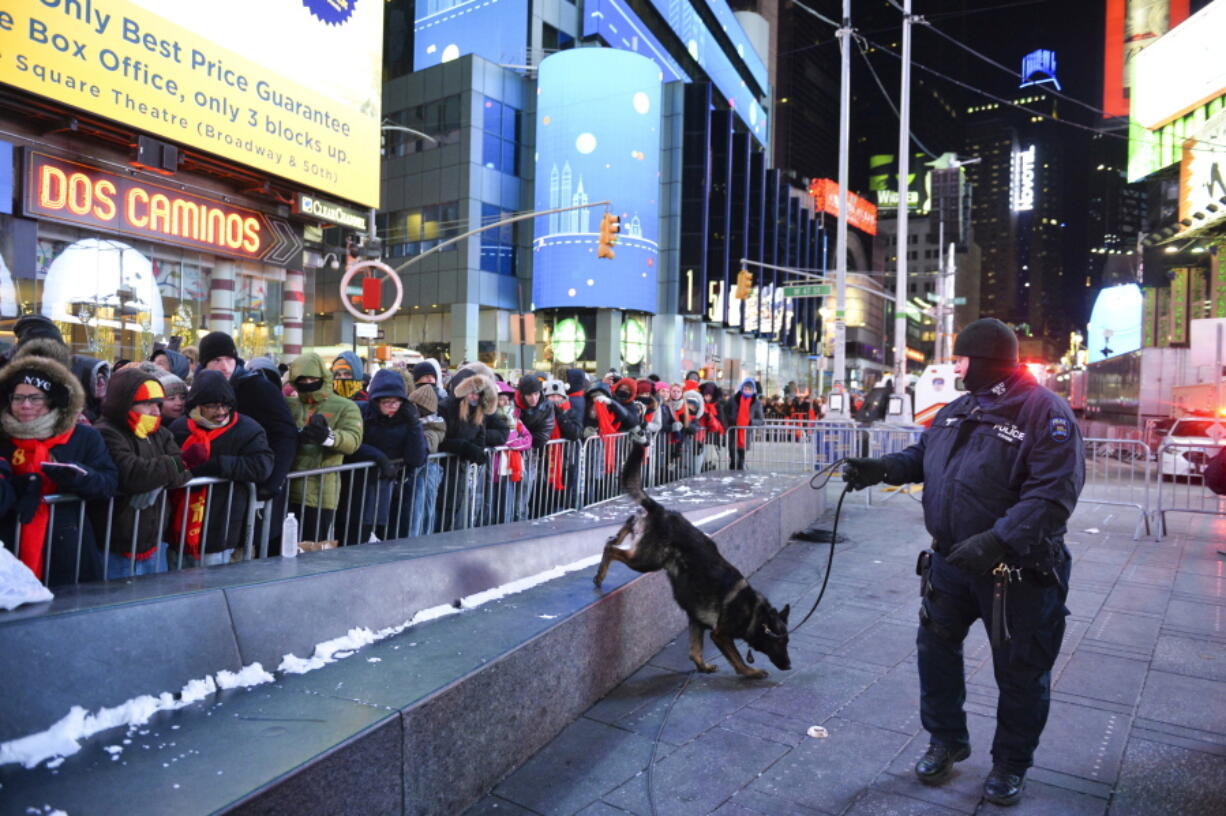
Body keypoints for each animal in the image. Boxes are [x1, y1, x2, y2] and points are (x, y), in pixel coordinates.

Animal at [593, 441, 794, 676]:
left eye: (787, 642)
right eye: (780, 642)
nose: (789, 665)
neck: (754, 612)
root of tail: (662, 511)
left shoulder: (696, 621)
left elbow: (695, 650)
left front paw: (703, 666)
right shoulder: (720, 634)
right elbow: (737, 659)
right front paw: (751, 672)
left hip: (643, 549)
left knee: (623, 526)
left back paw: (616, 539)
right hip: (647, 560)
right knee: (611, 548)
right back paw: (599, 576)